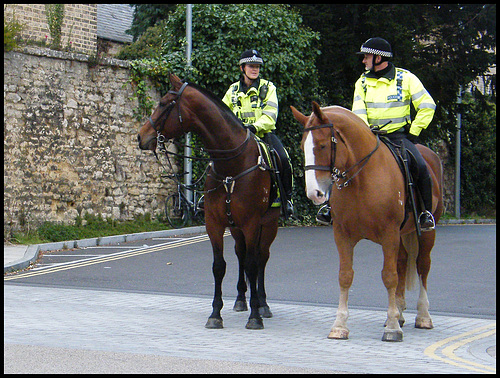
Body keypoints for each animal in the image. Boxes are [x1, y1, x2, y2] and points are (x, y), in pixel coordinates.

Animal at [138, 73, 282, 328]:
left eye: (164, 103)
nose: (141, 136)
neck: (232, 166)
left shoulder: (252, 223)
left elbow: (254, 265)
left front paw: (255, 315)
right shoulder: (214, 224)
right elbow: (219, 266)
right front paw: (216, 313)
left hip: (269, 224)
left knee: (261, 258)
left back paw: (262, 304)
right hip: (235, 228)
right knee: (241, 255)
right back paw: (241, 299)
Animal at [292, 102, 444, 342]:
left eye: (323, 145)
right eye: (302, 146)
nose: (314, 193)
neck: (362, 180)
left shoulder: (389, 234)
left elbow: (389, 276)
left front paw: (392, 328)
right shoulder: (343, 236)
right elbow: (345, 276)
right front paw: (339, 326)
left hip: (427, 232)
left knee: (422, 266)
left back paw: (423, 316)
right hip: (402, 235)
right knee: (402, 263)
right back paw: (400, 313)